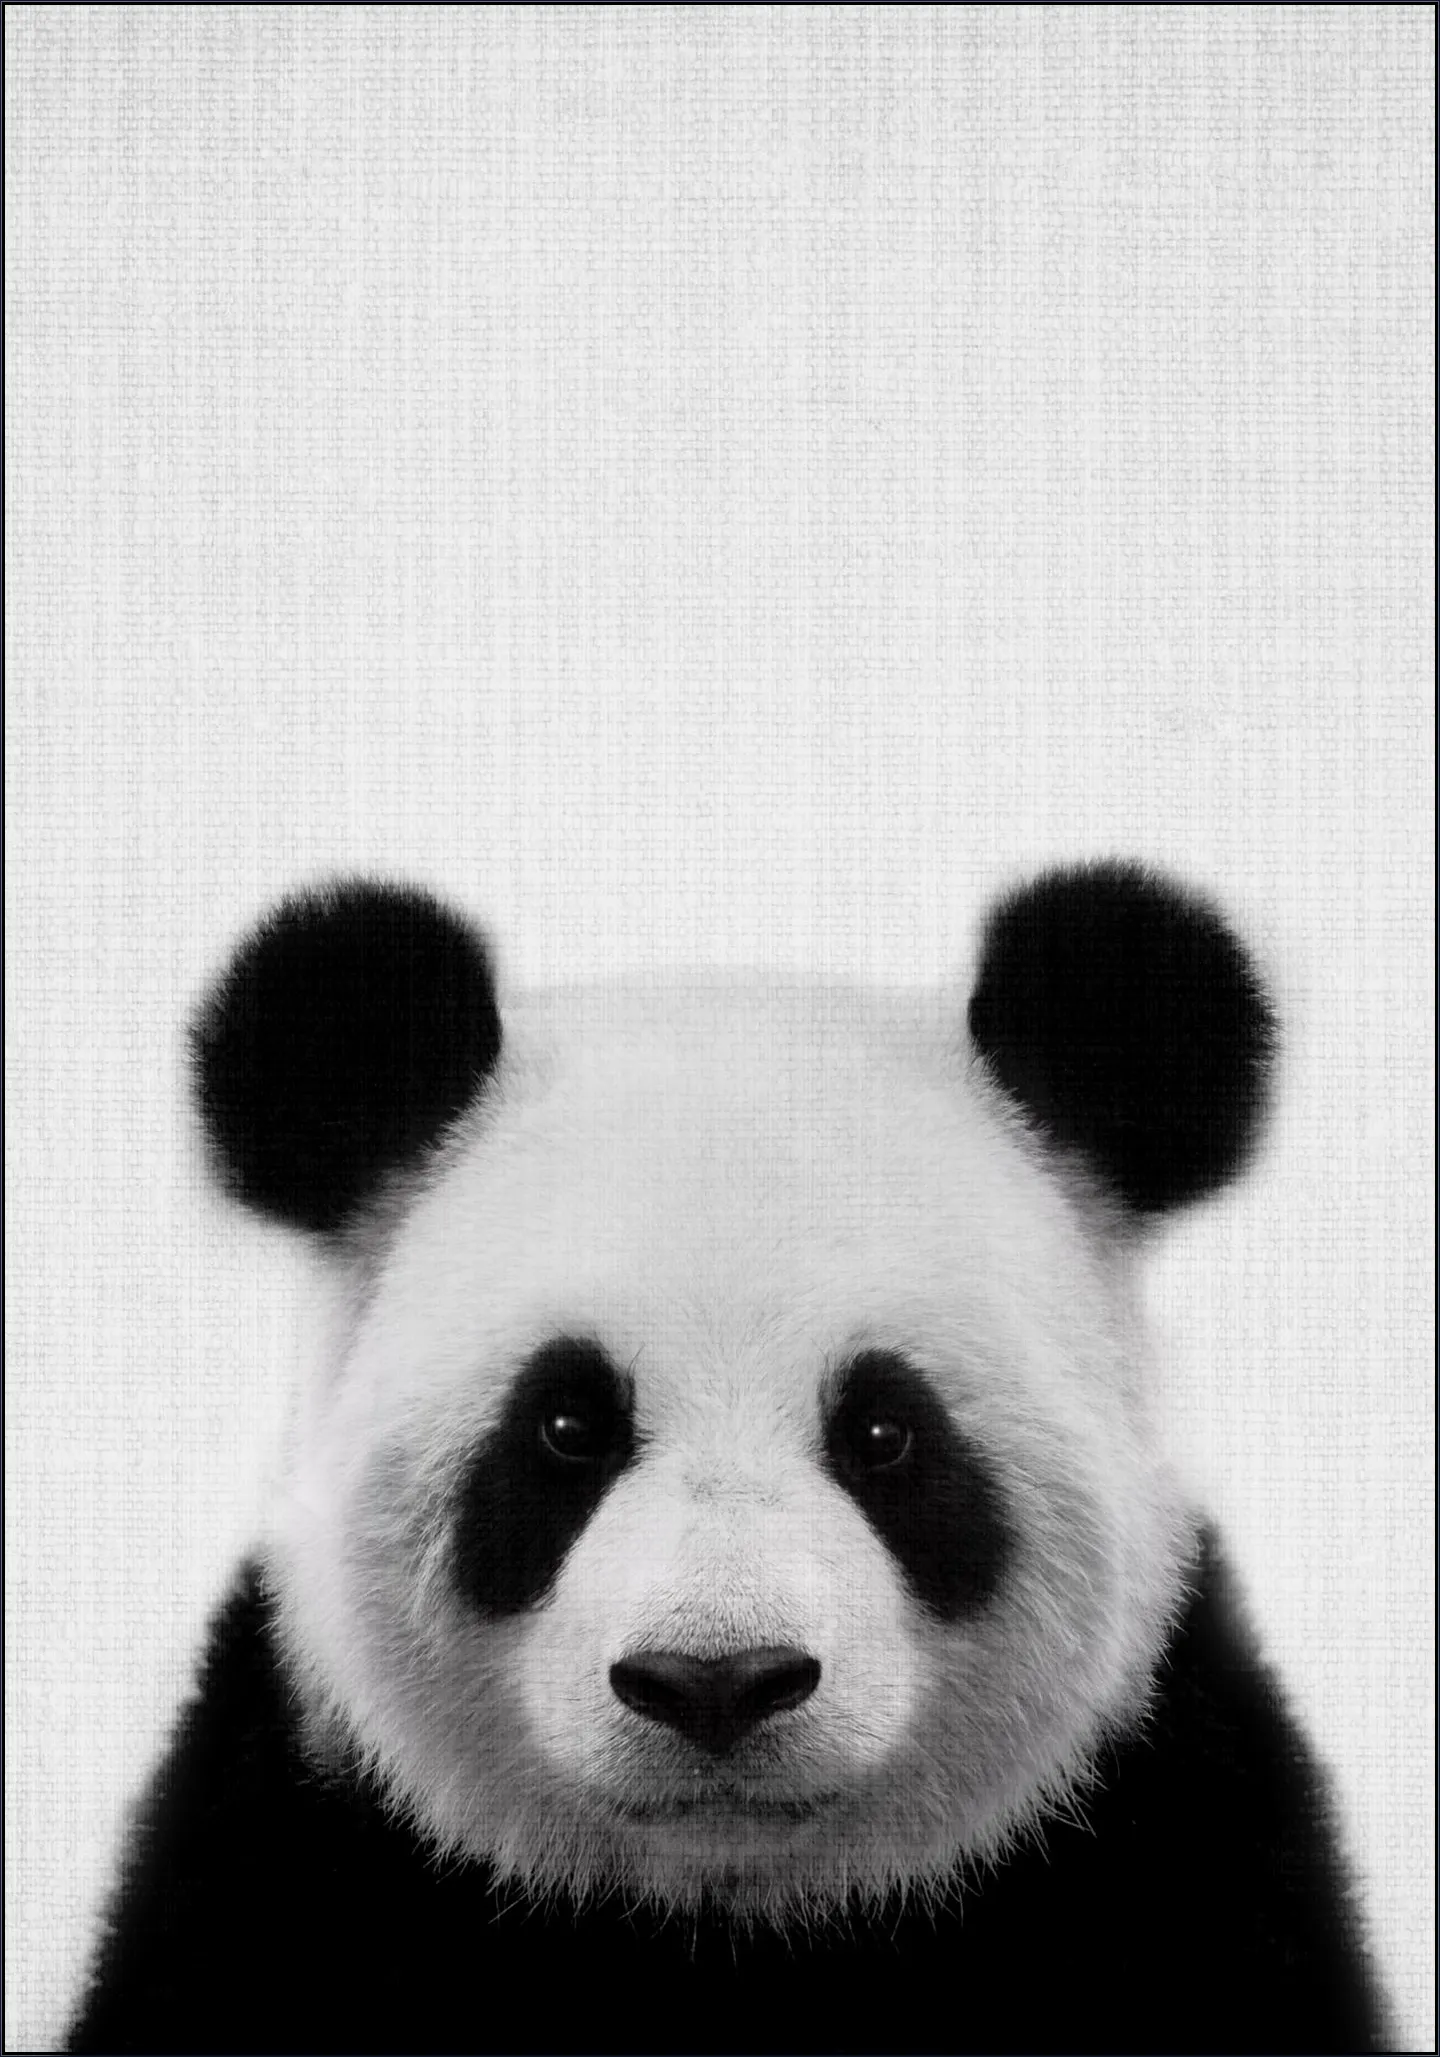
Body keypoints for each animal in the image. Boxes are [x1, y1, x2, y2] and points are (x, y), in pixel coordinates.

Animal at [66, 860, 1389, 2057]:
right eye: (567, 1427)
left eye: (883, 1432)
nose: (717, 1680)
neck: (724, 1925)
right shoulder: (290, 1856)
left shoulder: (1174, 1836)